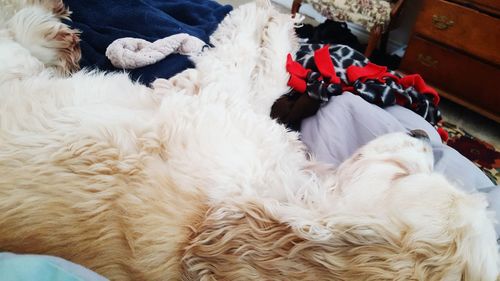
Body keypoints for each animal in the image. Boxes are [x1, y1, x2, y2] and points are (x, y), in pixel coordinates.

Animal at [0, 0, 498, 280]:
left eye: (401, 172)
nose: (420, 133)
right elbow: (269, 73)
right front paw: (281, 21)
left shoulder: (219, 99)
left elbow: (247, 62)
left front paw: (263, 17)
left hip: (17, 66)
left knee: (20, 35)